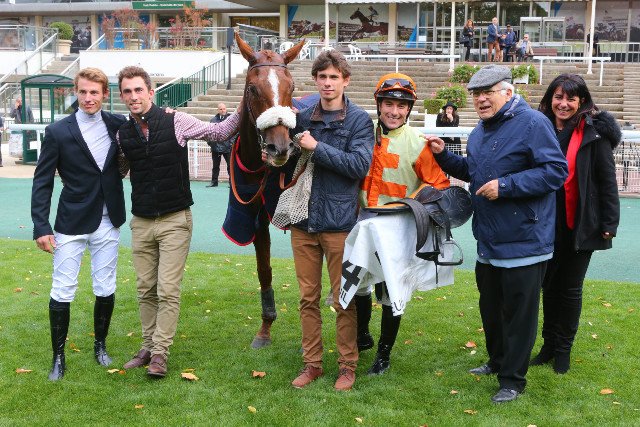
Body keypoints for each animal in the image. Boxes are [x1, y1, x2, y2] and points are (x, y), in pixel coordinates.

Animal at [223, 33, 305, 349]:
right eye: (252, 88)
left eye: (291, 87)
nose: (279, 148)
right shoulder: (255, 217)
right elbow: (264, 270)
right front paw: (265, 328)